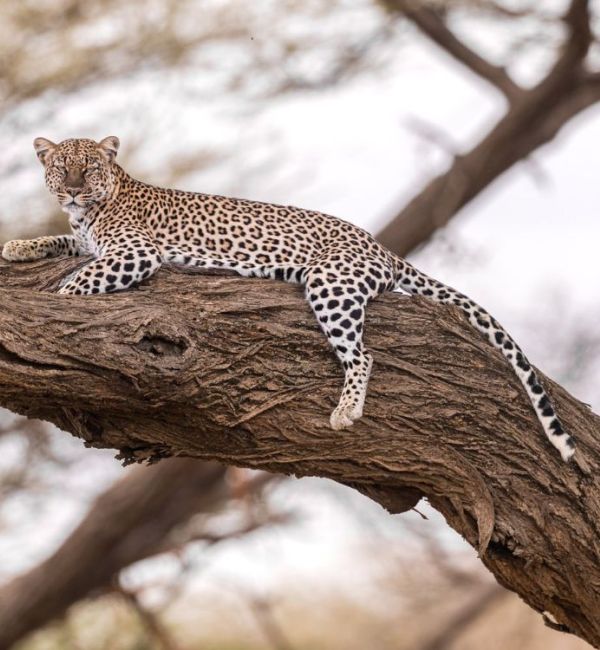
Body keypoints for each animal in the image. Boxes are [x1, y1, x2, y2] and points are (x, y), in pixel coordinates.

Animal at [1, 136, 575, 461]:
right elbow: (61, 243)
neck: (94, 208)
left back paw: (345, 411)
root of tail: (382, 247)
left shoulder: (134, 253)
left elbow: (78, 282)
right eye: (61, 169)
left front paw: (56, 299)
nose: (74, 189)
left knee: (363, 355)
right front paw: (17, 246)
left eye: (89, 168)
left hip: (330, 283)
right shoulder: (87, 241)